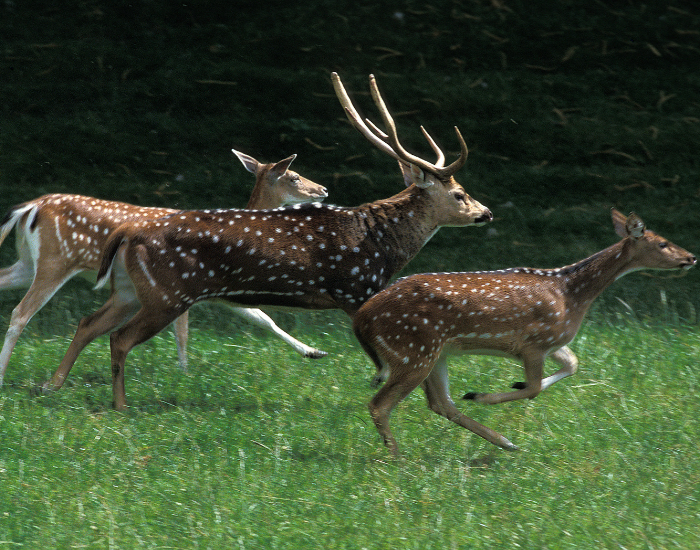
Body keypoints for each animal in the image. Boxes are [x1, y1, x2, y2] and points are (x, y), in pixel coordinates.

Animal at [0, 149, 329, 386]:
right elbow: (183, 333)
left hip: (28, 263)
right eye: (294, 176)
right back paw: (4, 375)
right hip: (56, 261)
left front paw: (314, 352)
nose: (323, 188)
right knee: (21, 313)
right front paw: (184, 375)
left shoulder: (218, 290)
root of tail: (30, 207)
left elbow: (262, 319)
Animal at [39, 72, 493, 409]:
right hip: (167, 293)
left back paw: (55, 386)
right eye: (459, 194)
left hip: (131, 289)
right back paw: (119, 406)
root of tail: (127, 233)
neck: (382, 243)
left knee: (88, 323)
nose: (485, 212)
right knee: (119, 338)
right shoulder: (354, 287)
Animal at [352, 209, 696, 455]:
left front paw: (489, 392)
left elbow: (572, 365)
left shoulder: (554, 341)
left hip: (435, 353)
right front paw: (487, 395)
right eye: (662, 242)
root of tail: (361, 319)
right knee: (380, 404)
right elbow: (533, 389)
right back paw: (398, 456)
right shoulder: (534, 342)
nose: (691, 257)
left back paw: (505, 442)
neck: (571, 294)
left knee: (440, 403)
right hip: (411, 349)